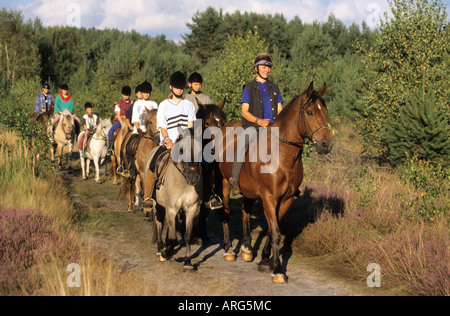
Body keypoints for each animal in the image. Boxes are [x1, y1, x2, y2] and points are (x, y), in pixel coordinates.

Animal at [216, 82, 332, 284]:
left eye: (325, 112)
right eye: (310, 112)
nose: (326, 145)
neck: (282, 154)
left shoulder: (286, 199)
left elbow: (271, 231)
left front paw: (264, 261)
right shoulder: (269, 198)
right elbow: (276, 232)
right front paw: (277, 270)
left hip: (249, 191)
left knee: (245, 210)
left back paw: (247, 249)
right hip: (224, 184)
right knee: (226, 213)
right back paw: (229, 250)